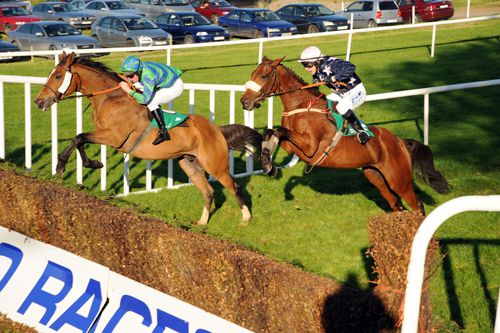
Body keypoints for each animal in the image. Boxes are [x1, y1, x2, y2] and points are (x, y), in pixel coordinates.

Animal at [33, 51, 264, 223]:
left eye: (57, 76)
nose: (39, 101)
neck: (111, 98)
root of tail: (217, 130)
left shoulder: (114, 137)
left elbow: (79, 137)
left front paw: (62, 165)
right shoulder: (104, 135)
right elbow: (79, 139)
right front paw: (92, 163)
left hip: (216, 165)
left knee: (234, 186)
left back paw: (246, 217)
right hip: (189, 163)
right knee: (208, 191)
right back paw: (202, 222)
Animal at [239, 56, 450, 214]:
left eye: (264, 75)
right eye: (252, 74)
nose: (244, 101)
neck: (302, 105)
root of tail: (400, 142)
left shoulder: (310, 147)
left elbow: (280, 131)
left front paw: (269, 165)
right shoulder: (292, 146)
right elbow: (271, 132)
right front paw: (267, 163)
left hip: (399, 179)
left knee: (417, 206)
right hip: (375, 176)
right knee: (396, 204)